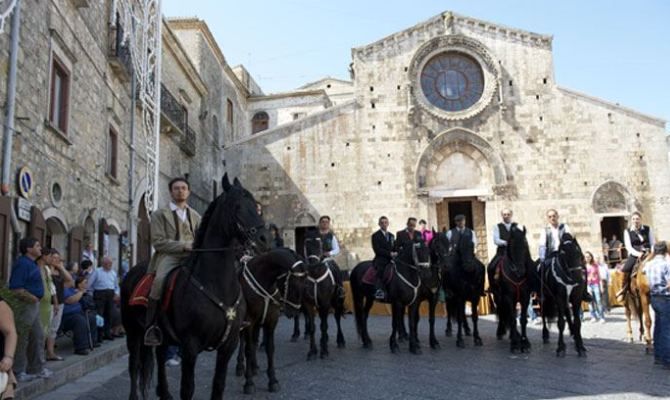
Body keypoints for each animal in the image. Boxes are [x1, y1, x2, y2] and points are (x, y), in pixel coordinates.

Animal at [121, 176, 270, 400]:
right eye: (237, 206)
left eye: (256, 206)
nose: (264, 239)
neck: (216, 283)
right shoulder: (190, 345)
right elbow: (187, 389)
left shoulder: (228, 345)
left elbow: (218, 386)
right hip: (133, 331)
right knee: (134, 365)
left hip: (160, 336)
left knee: (158, 356)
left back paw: (164, 393)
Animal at [236, 247, 308, 394]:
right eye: (293, 286)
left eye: (305, 286)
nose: (294, 313)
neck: (264, 280)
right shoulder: (249, 321)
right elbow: (247, 349)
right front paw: (249, 382)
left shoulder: (271, 320)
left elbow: (270, 349)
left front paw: (273, 380)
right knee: (243, 341)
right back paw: (241, 366)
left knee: (254, 341)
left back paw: (254, 366)